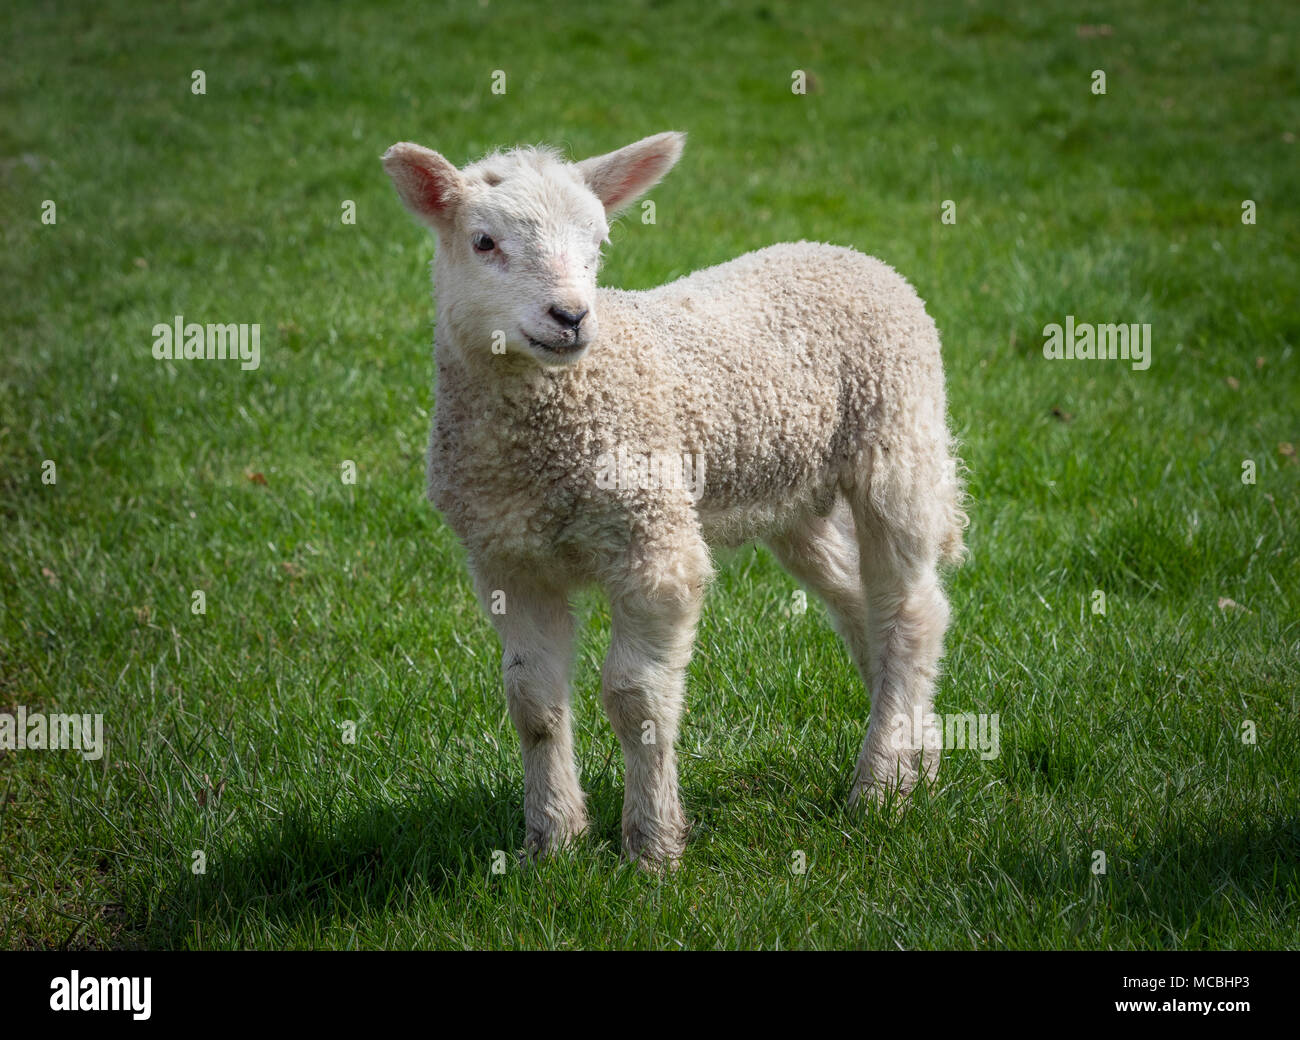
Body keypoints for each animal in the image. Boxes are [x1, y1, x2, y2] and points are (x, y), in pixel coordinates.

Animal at [382, 131, 966, 868]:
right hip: (794, 497)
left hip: (898, 443)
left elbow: (636, 701)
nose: (571, 317)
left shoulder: (653, 544)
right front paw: (551, 842)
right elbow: (532, 702)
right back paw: (921, 760)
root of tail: (848, 253)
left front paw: (653, 846)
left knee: (912, 613)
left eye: (598, 243)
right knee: (866, 608)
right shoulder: (507, 560)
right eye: (483, 242)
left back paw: (879, 787)